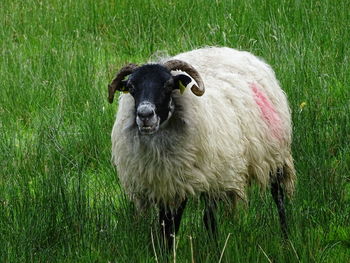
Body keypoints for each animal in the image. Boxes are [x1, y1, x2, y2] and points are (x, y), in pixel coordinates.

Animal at [107, 46, 296, 251]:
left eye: (168, 85)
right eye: (132, 88)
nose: (145, 115)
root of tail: (237, 51)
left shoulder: (200, 179)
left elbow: (202, 221)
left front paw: (215, 250)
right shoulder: (166, 183)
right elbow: (167, 226)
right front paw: (167, 252)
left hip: (272, 156)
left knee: (278, 198)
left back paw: (286, 240)